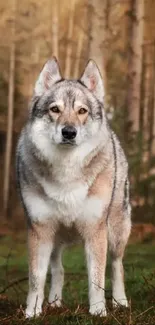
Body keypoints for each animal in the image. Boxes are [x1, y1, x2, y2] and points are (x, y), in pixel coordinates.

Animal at [16, 57, 131, 316]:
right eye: (55, 109)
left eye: (82, 111)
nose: (69, 132)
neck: (66, 170)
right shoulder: (39, 230)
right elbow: (36, 278)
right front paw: (31, 312)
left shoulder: (95, 231)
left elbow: (96, 278)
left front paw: (98, 312)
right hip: (55, 238)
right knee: (58, 269)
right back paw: (54, 302)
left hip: (116, 232)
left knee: (116, 266)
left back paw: (120, 302)